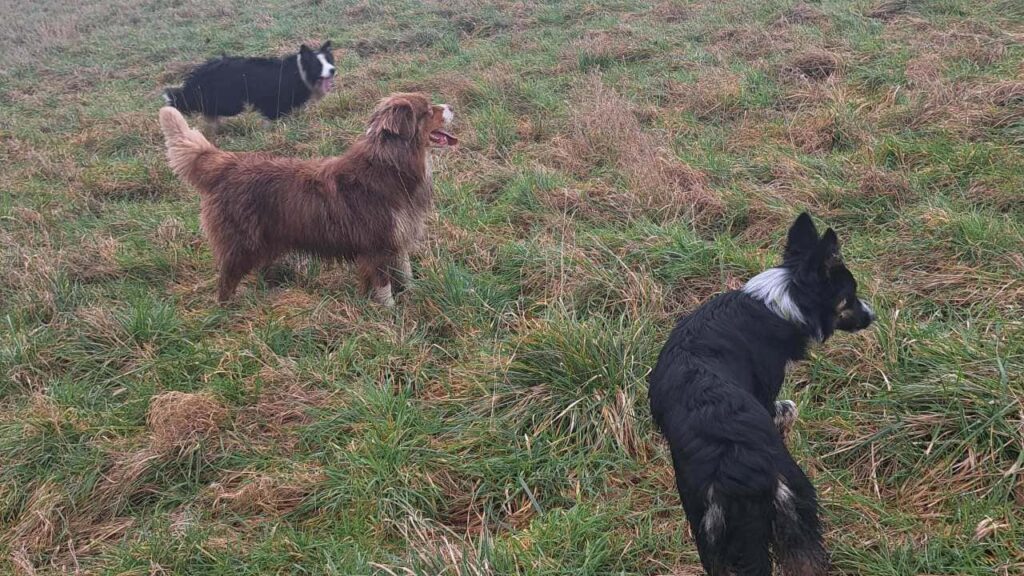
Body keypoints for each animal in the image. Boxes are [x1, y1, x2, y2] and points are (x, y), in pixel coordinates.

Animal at [158, 91, 456, 303]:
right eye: (428, 110)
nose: (451, 106)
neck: (391, 164)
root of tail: (227, 164)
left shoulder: (399, 236)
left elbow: (406, 273)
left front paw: (415, 295)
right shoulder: (376, 245)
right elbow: (385, 288)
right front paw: (390, 317)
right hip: (240, 245)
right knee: (225, 282)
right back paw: (228, 311)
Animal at [163, 41, 337, 127]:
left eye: (329, 61)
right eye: (318, 65)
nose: (333, 70)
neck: (299, 72)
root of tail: (200, 72)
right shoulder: (272, 104)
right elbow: (271, 118)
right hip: (229, 103)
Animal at [651, 213, 876, 569]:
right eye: (850, 296)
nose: (873, 315)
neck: (777, 305)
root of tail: (731, 466)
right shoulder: (769, 397)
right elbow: (790, 408)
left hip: (709, 537)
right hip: (797, 505)